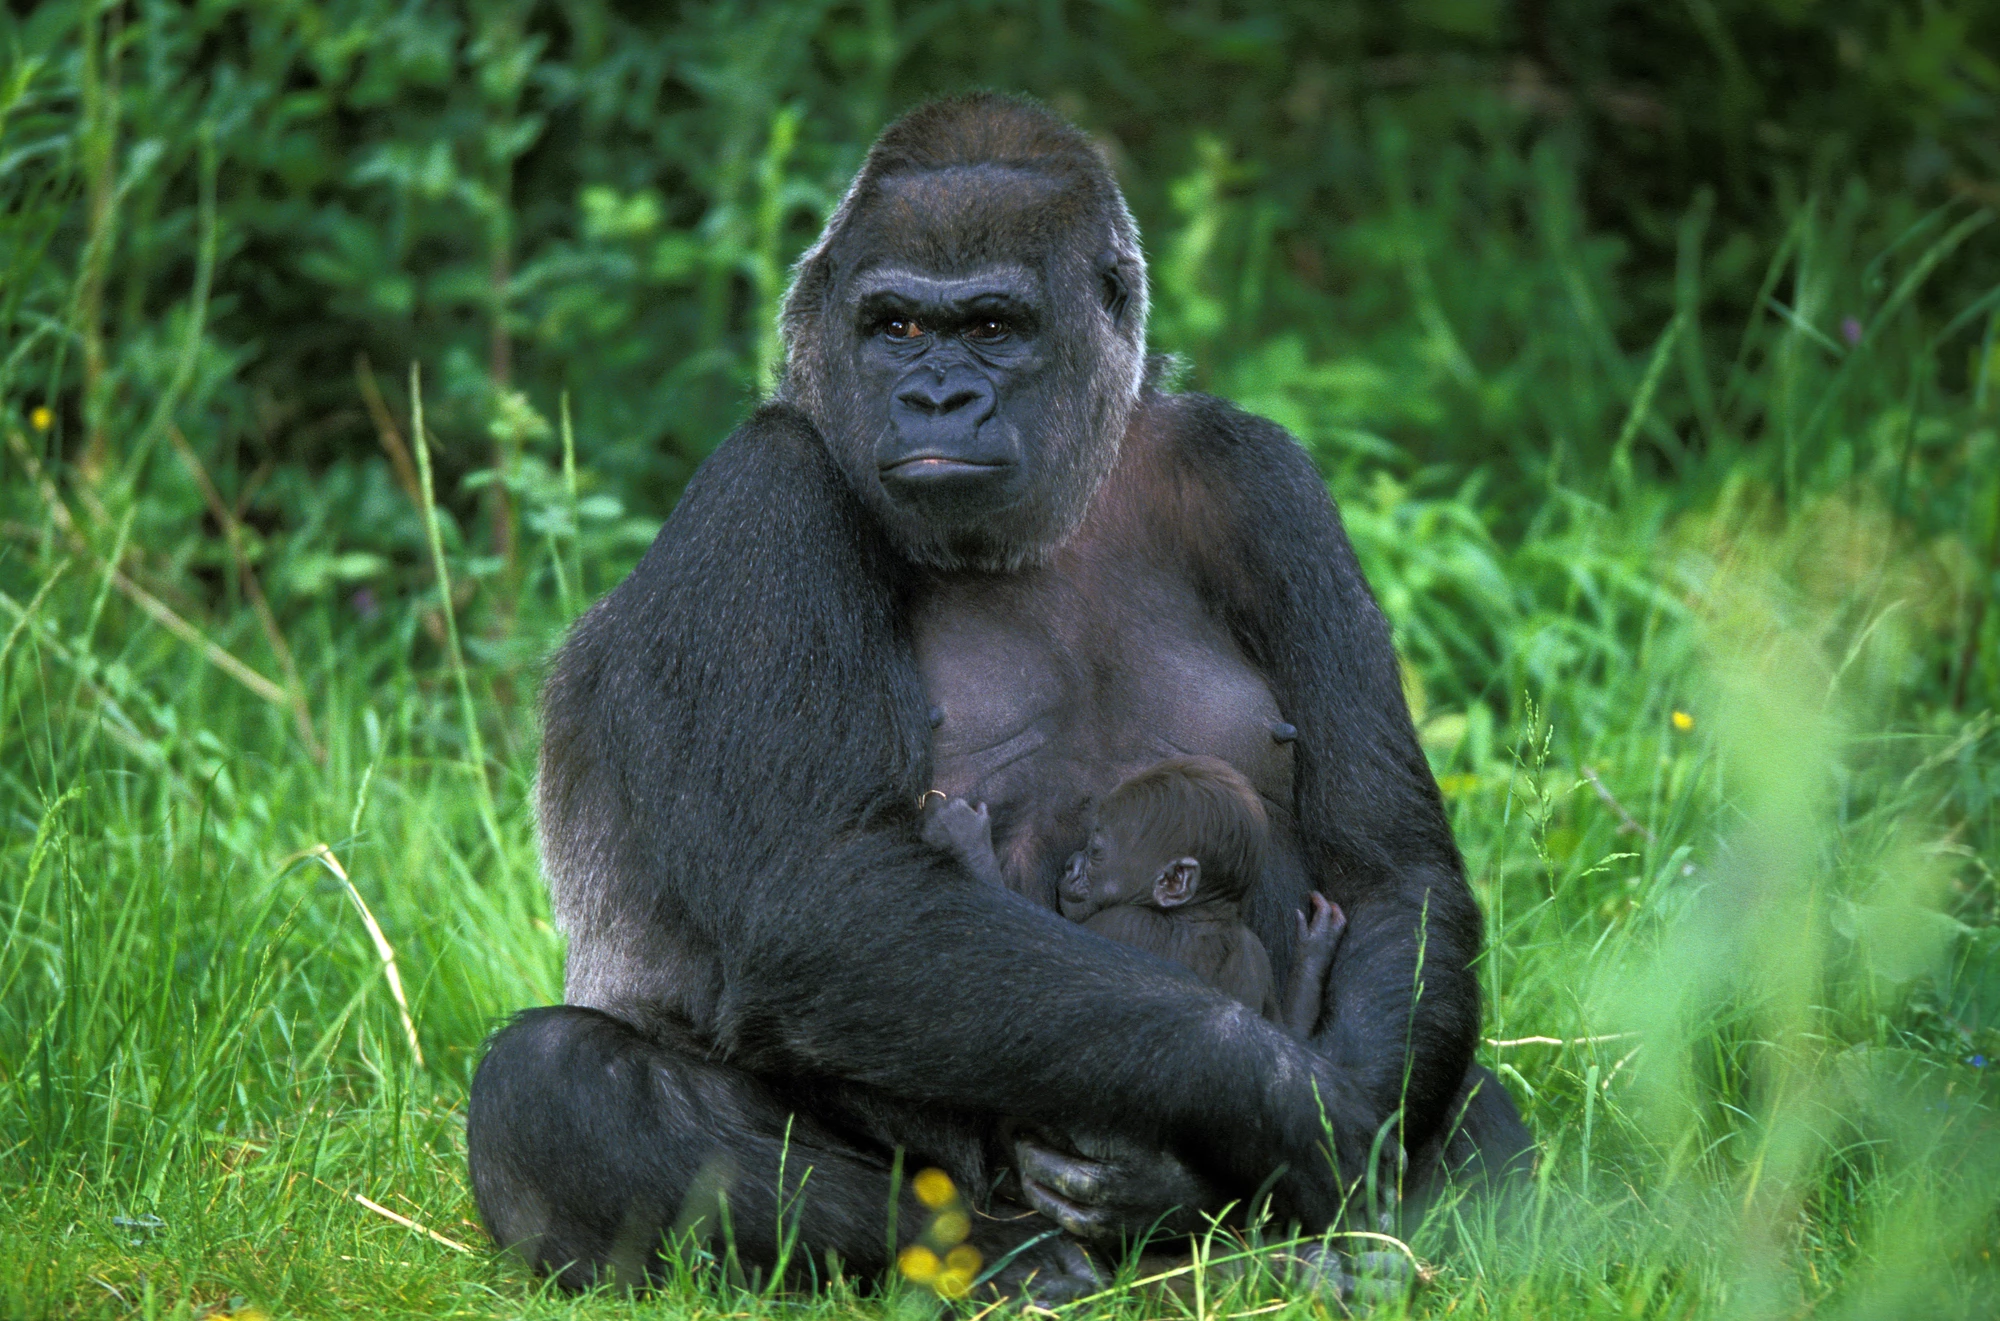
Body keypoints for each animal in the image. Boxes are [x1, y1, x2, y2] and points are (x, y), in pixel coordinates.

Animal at [467, 92, 1533, 1298]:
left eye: (989, 327)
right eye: (893, 328)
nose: (936, 396)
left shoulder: (1261, 473)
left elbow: (1389, 866)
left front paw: (1295, 1130)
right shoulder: (767, 488)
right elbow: (823, 894)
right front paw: (1275, 1094)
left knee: (1465, 1089)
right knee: (555, 1080)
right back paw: (1014, 1255)